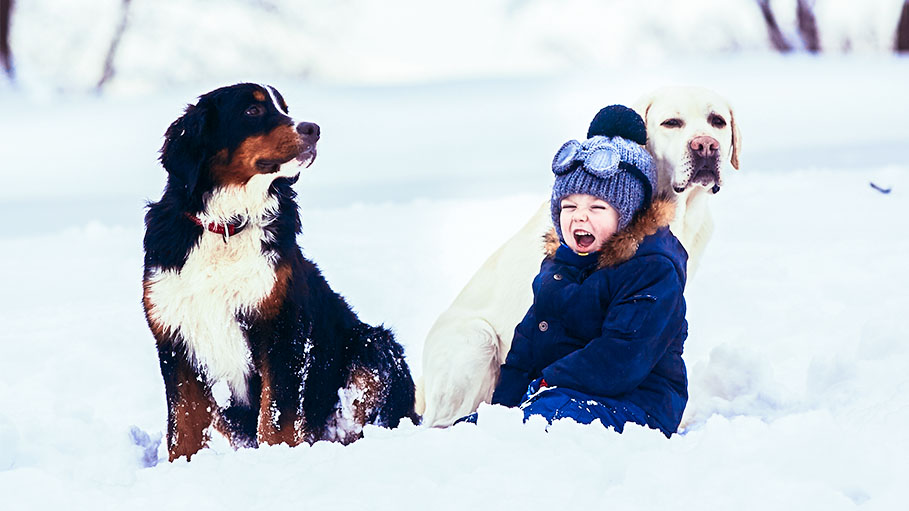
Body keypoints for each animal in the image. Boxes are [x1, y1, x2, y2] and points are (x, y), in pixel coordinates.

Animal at [142, 82, 414, 462]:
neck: (228, 225)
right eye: (253, 110)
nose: (313, 129)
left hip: (372, 347)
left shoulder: (282, 327)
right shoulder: (174, 335)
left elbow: (276, 417)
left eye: (284, 107)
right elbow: (184, 425)